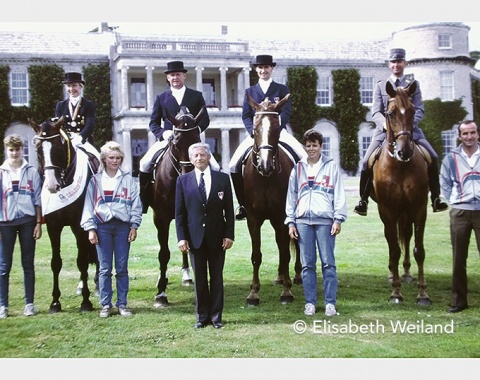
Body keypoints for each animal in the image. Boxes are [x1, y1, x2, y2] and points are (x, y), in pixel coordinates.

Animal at [28, 117, 100, 314]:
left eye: (58, 148)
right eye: (38, 149)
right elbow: (56, 262)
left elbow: (82, 261)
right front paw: (55, 302)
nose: (52, 186)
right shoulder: (53, 226)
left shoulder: (79, 226)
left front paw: (86, 302)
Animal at [142, 105, 202, 308]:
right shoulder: (160, 218)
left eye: (197, 140)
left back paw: (187, 275)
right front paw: (161, 293)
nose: (187, 176)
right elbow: (164, 254)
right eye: (175, 144)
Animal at [244, 94, 300, 306]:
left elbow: (286, 252)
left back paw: (296, 276)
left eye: (277, 128)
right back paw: (280, 276)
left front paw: (286, 291)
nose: (266, 165)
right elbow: (256, 255)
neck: (266, 179)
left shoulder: (282, 217)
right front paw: (253, 293)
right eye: (255, 129)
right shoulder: (253, 219)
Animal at [372, 80, 432, 306]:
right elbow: (394, 250)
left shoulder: (420, 208)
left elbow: (419, 250)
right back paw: (394, 275)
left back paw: (406, 274)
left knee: (406, 235)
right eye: (390, 113)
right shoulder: (388, 210)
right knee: (395, 241)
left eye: (413, 111)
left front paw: (423, 294)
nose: (404, 151)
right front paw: (396, 292)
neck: (400, 166)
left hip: (407, 212)